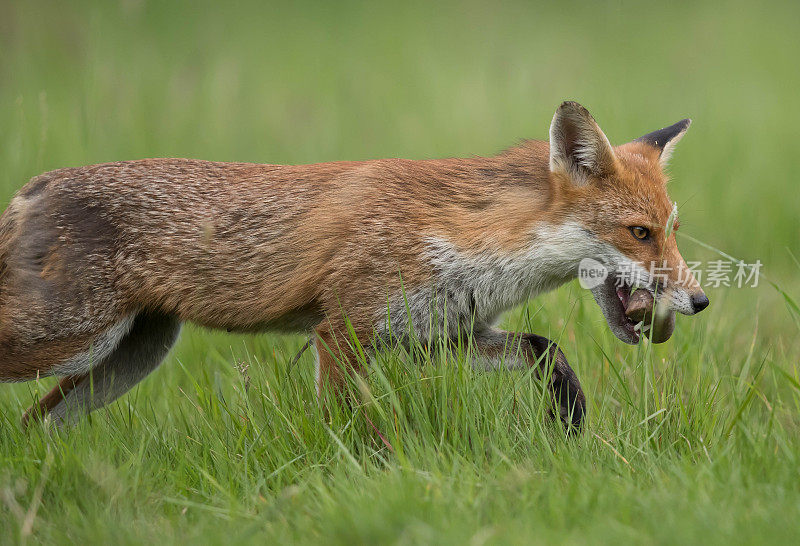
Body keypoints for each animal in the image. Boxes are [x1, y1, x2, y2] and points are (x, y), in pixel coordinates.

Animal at [0, 100, 708, 428]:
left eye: (672, 232)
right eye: (639, 233)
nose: (699, 301)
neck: (476, 241)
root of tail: (33, 187)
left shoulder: (440, 334)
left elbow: (546, 350)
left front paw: (572, 423)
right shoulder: (342, 330)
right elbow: (361, 434)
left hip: (130, 354)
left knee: (37, 429)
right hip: (66, 338)